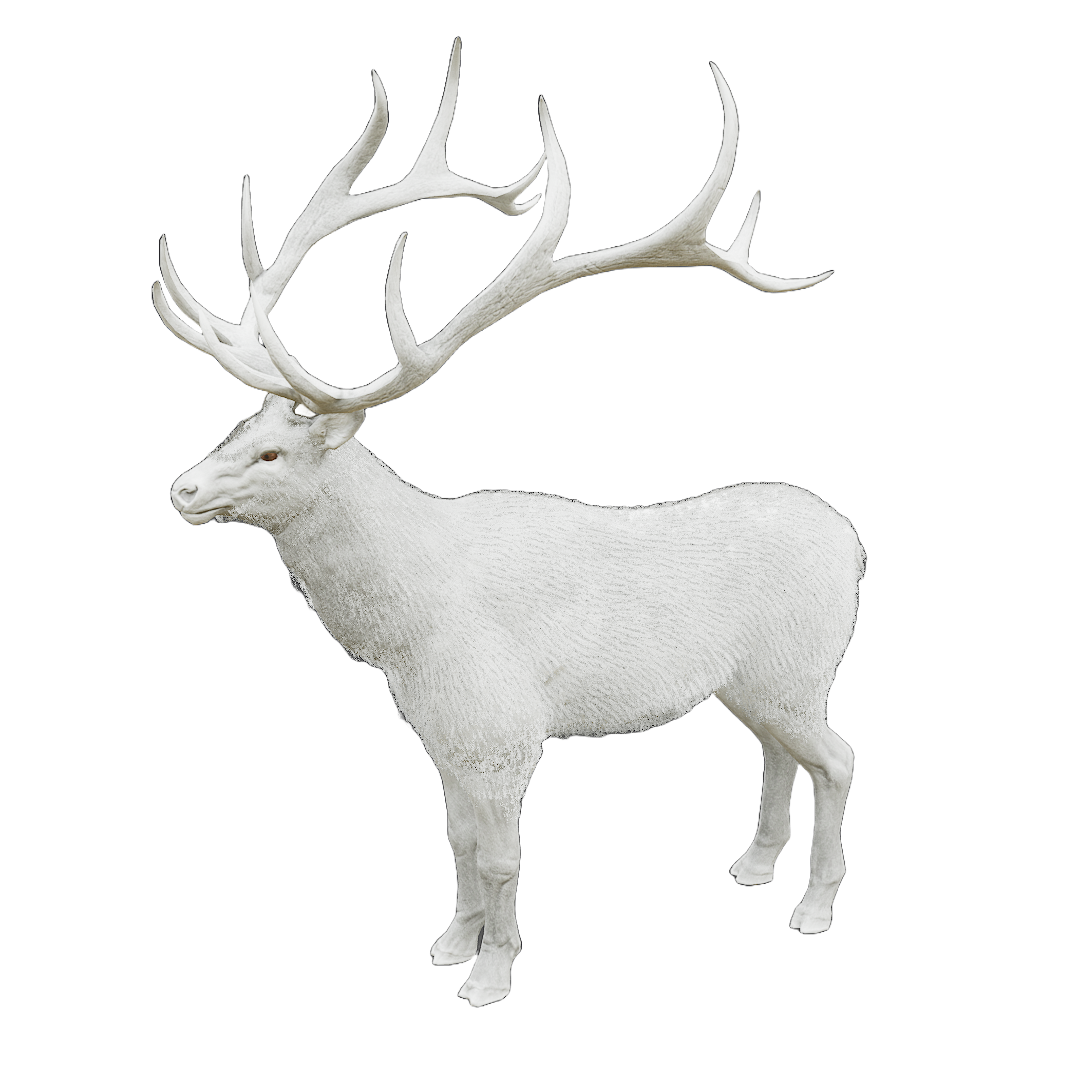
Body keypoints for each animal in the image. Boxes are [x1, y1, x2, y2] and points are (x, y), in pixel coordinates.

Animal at [160, 39, 862, 1006]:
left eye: (272, 455)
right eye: (235, 428)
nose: (183, 490)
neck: (410, 627)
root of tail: (854, 544)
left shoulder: (503, 730)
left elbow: (500, 861)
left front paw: (491, 974)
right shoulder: (442, 731)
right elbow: (456, 842)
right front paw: (450, 943)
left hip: (801, 664)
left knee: (838, 756)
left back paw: (816, 905)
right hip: (751, 681)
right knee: (778, 749)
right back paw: (755, 865)